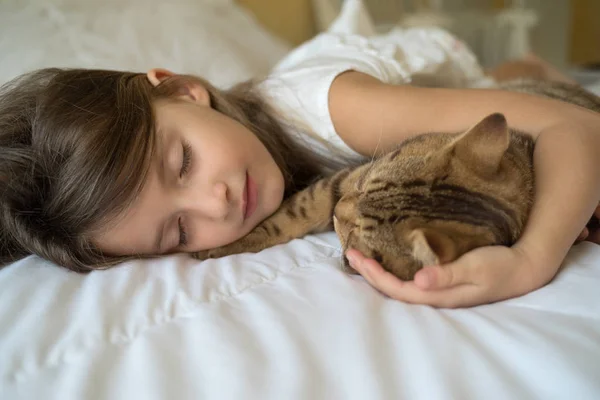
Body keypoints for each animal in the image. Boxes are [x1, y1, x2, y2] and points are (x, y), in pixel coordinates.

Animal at [193, 80, 600, 282]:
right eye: (365, 182)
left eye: (358, 233)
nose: (339, 209)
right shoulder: (341, 177)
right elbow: (290, 214)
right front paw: (231, 242)